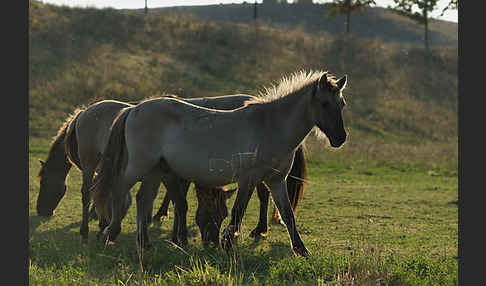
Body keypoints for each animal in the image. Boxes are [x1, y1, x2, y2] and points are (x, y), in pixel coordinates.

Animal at [94, 70, 346, 256]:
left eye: (341, 104)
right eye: (324, 103)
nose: (340, 138)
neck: (270, 125)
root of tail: (133, 109)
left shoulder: (276, 181)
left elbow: (287, 215)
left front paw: (301, 250)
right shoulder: (249, 179)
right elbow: (238, 211)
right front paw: (227, 243)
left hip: (155, 170)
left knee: (142, 198)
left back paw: (143, 243)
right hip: (140, 167)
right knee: (120, 189)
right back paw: (110, 233)